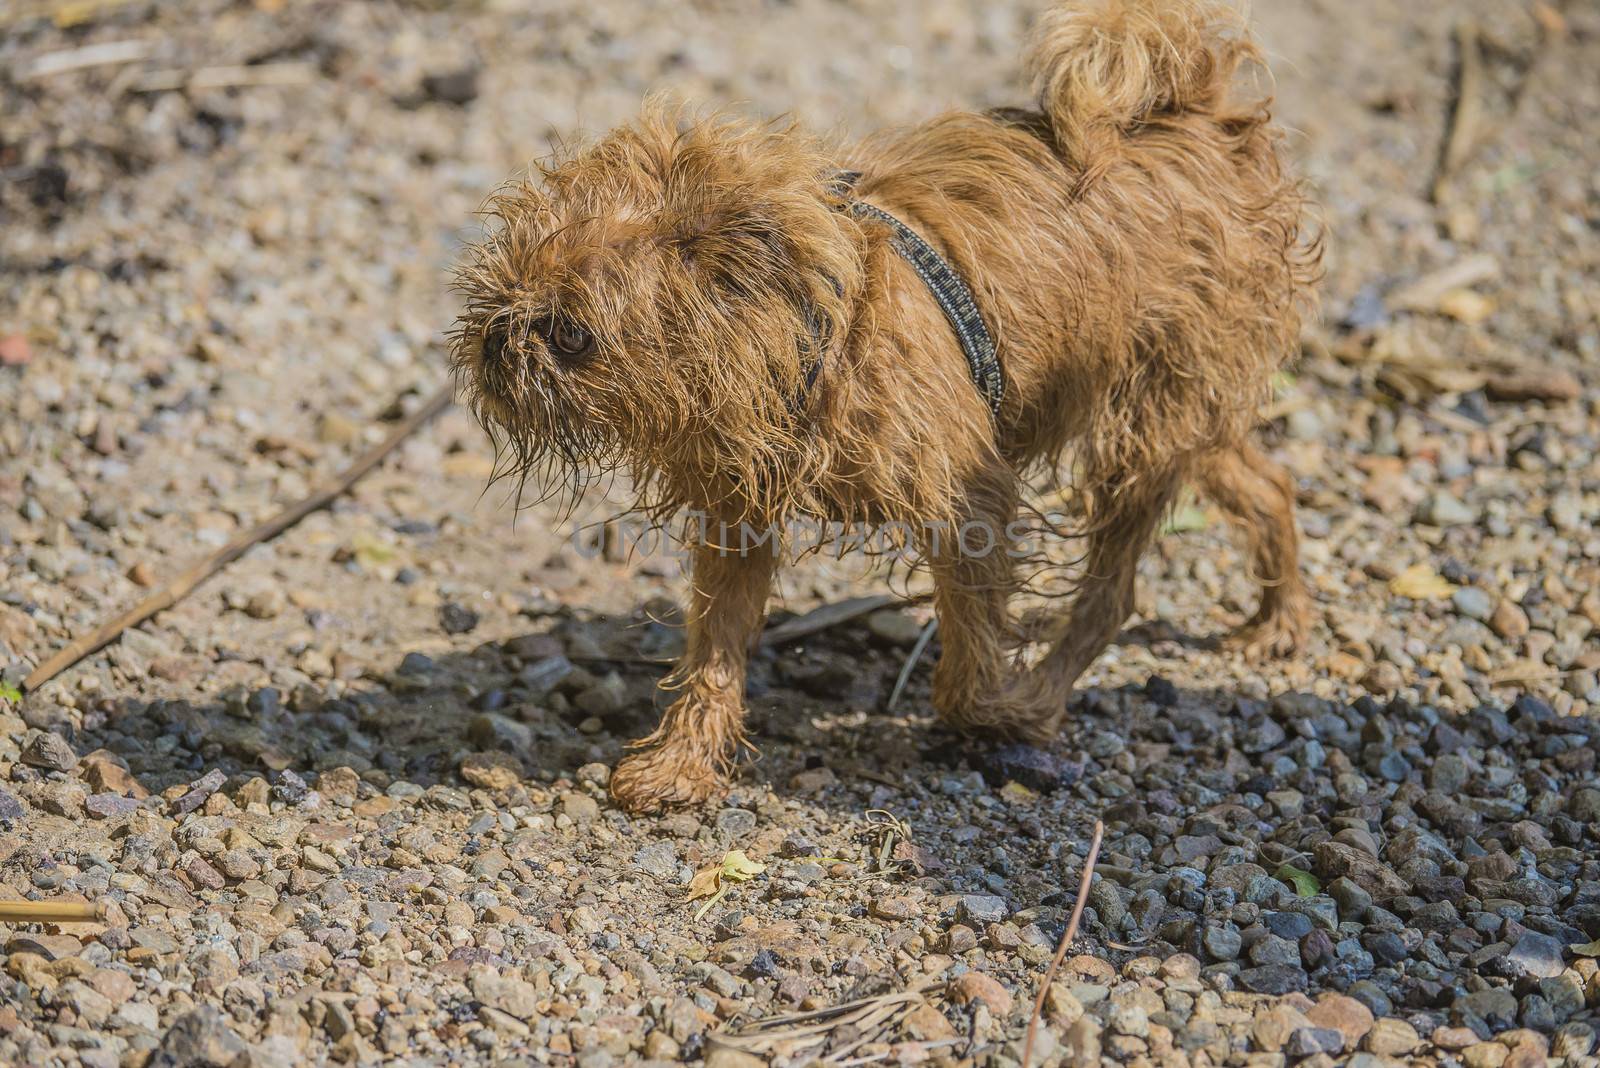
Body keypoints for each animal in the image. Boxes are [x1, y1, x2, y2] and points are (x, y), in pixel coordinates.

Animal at [454, 0, 1324, 808]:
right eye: (493, 291)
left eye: (570, 334)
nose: (499, 336)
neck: (817, 330)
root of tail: (1199, 113)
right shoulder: (739, 516)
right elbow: (715, 650)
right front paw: (684, 762)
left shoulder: (970, 501)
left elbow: (967, 660)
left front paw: (999, 711)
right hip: (1180, 414)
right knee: (1264, 482)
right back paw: (1279, 621)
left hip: (1145, 420)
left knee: (1113, 590)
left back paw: (1046, 693)